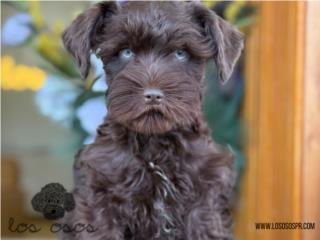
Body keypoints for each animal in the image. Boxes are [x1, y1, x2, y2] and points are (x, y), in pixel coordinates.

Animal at [61, 0, 244, 239]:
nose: (153, 95)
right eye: (126, 52)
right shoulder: (98, 197)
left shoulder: (206, 198)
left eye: (181, 53)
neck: (155, 152)